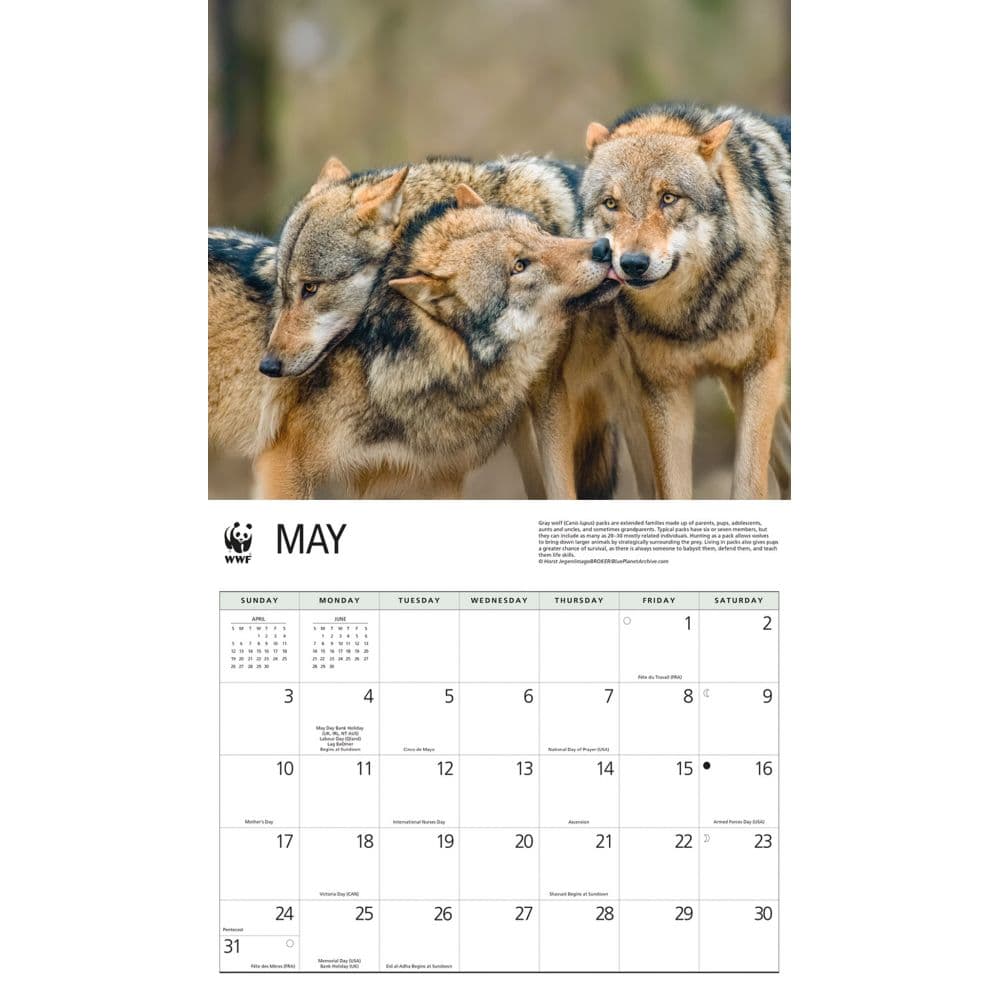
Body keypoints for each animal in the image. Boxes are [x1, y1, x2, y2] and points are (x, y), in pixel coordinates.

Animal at [580, 102, 791, 499]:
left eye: (668, 198)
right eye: (611, 204)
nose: (632, 263)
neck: (693, 318)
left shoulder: (759, 371)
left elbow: (749, 485)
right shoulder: (664, 389)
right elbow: (672, 490)